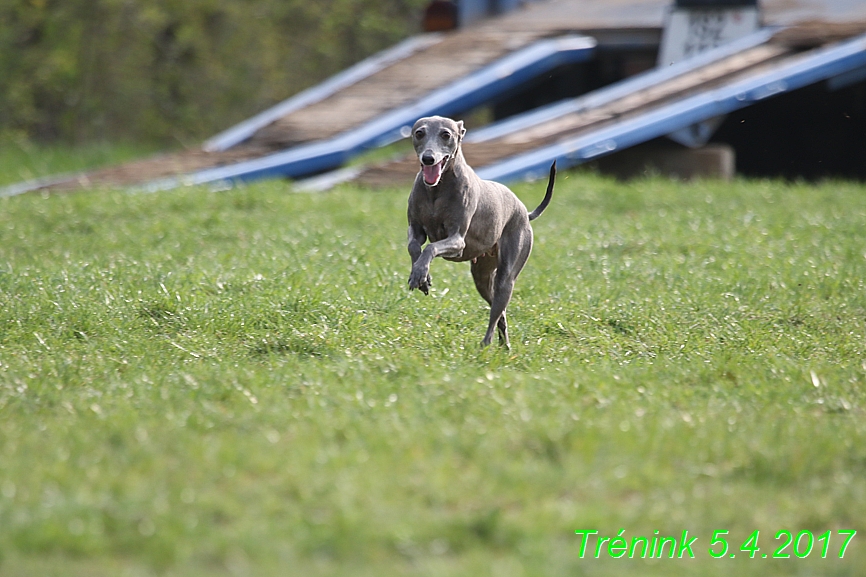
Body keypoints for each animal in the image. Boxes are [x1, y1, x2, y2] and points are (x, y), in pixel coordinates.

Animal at [404, 113, 552, 346]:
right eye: (419, 133)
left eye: (446, 135)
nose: (428, 158)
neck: (438, 188)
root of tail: (524, 211)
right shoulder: (416, 229)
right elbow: (414, 246)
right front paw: (421, 276)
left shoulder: (457, 241)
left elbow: (431, 248)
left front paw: (420, 272)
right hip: (482, 276)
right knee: (500, 312)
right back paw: (504, 344)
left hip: (507, 274)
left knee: (497, 308)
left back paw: (486, 343)